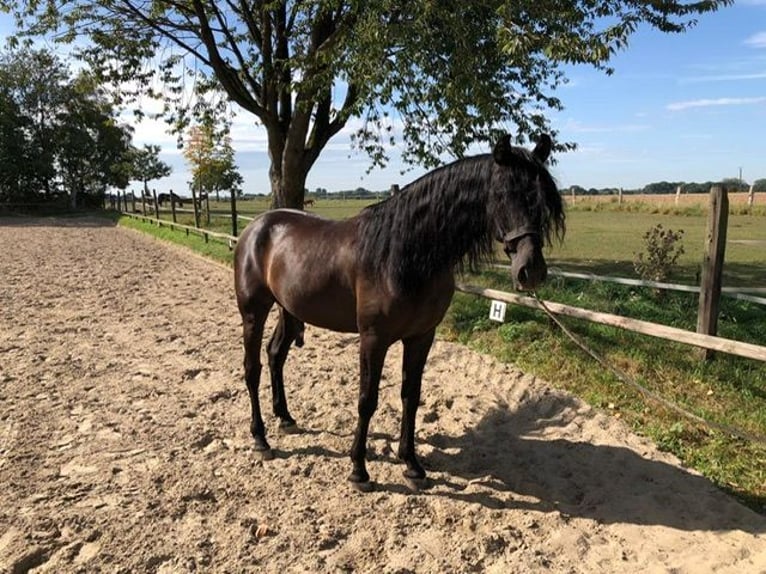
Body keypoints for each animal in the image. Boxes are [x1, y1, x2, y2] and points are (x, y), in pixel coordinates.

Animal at [234, 133, 565, 491]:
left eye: (542, 200)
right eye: (503, 194)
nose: (531, 271)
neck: (402, 255)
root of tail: (256, 227)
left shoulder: (421, 338)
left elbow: (411, 395)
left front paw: (412, 464)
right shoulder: (373, 339)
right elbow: (367, 400)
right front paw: (359, 470)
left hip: (288, 309)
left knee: (275, 355)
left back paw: (285, 418)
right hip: (253, 312)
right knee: (252, 369)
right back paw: (261, 439)